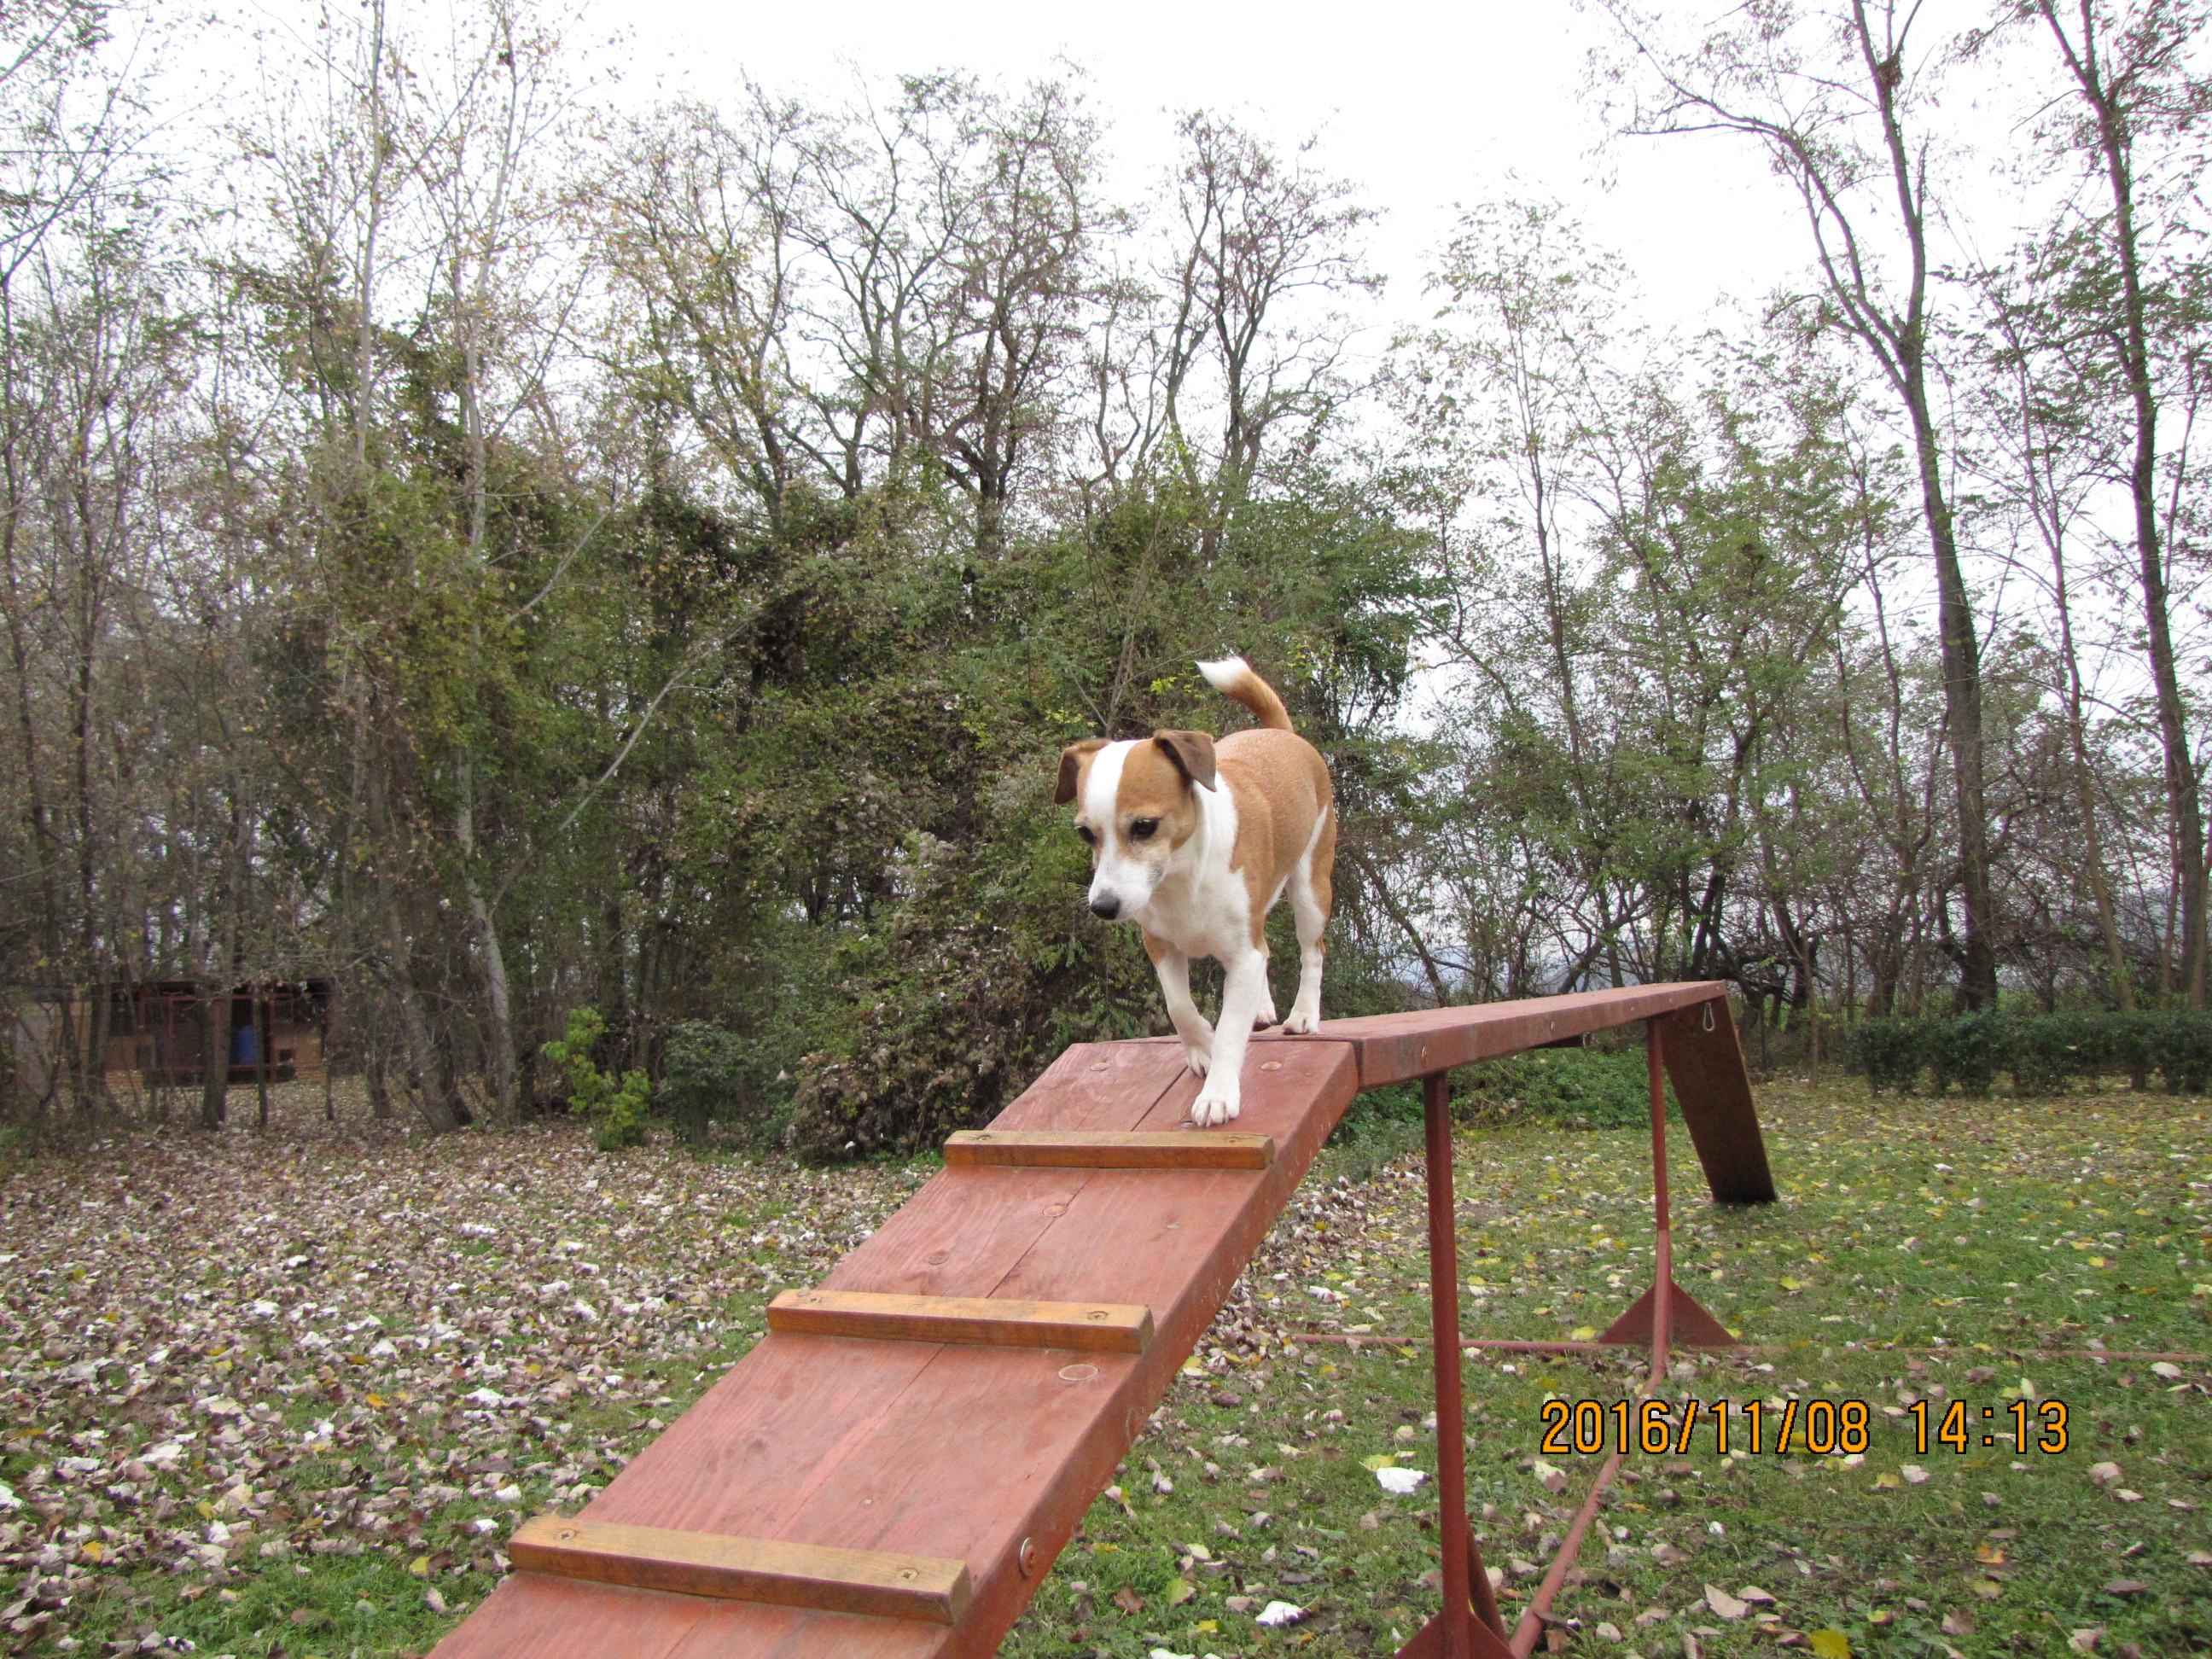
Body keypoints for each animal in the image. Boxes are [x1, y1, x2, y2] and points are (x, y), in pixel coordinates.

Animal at [1048, 655, 1327, 1123]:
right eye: (1085, 833)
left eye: (1145, 826)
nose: (1103, 906)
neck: (1180, 881)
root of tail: (1282, 734)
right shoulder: (1160, 944)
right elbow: (1179, 1006)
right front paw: (1203, 1049)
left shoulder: (1243, 953)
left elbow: (1231, 1026)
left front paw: (1218, 1091)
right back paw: (1262, 1007)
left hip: (1311, 889)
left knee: (1313, 951)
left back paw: (1304, 1014)